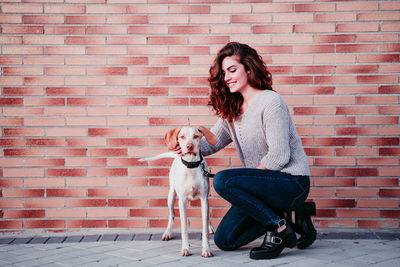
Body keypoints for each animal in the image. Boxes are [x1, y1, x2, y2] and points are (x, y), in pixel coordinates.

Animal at [140, 126, 216, 258]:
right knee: (172, 214)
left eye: (196, 136)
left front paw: (206, 249)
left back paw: (210, 226)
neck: (191, 165)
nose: (189, 146)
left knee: (207, 218)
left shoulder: (204, 199)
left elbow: (204, 228)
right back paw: (167, 233)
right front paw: (185, 248)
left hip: (206, 199)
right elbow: (184, 228)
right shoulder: (182, 201)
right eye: (182, 137)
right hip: (171, 196)